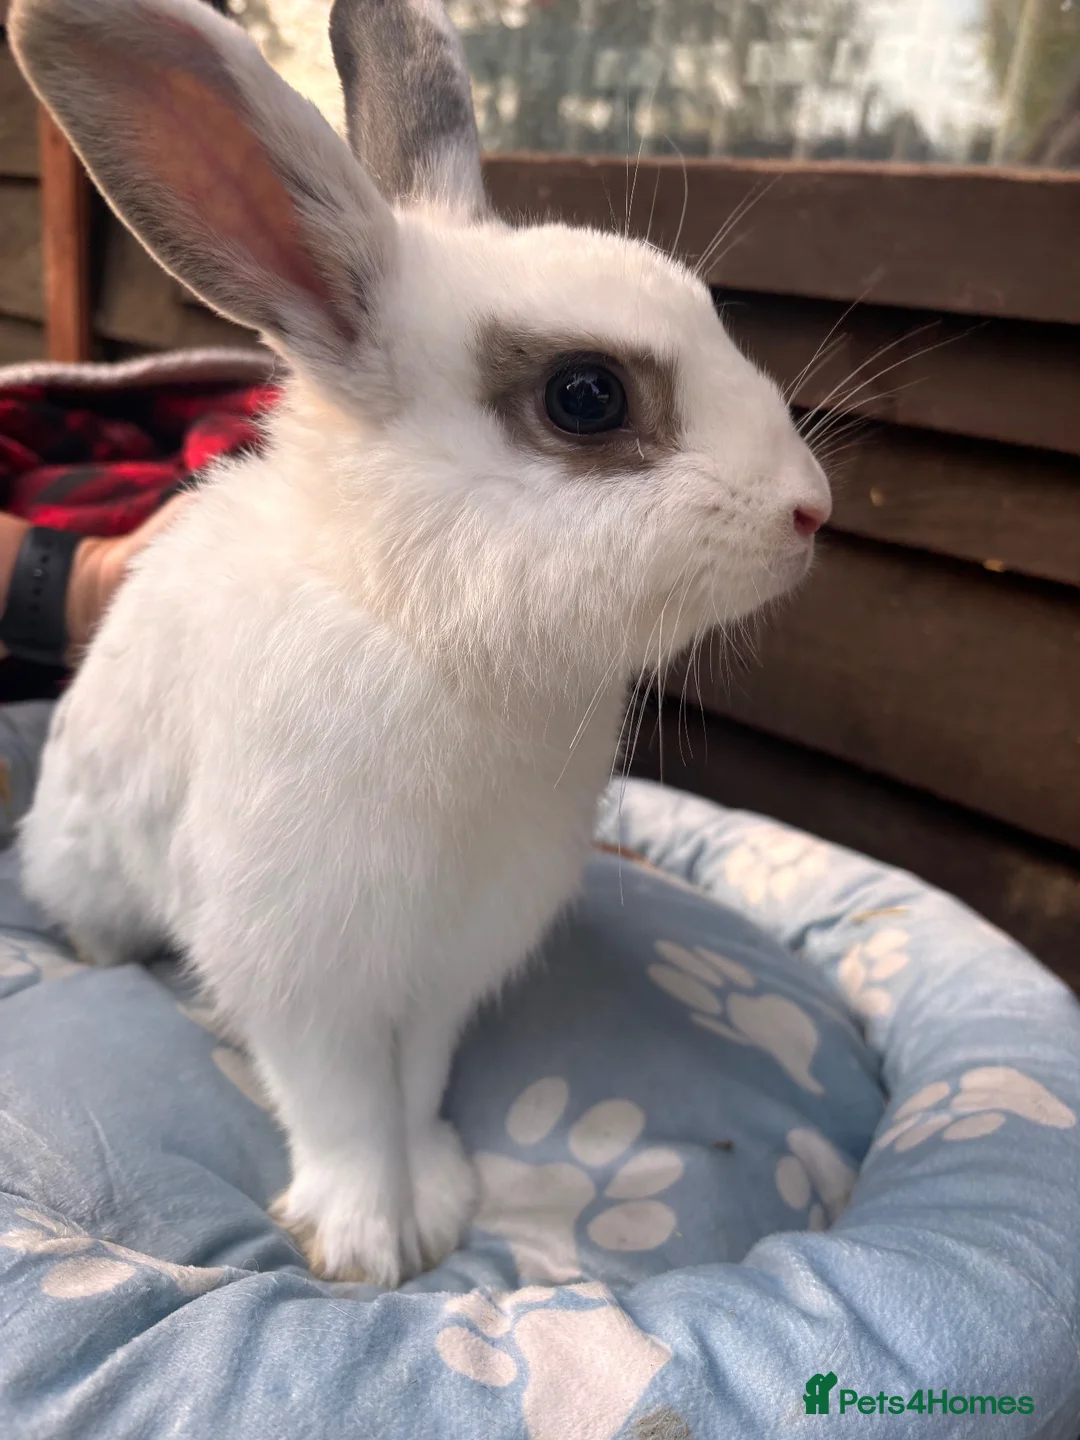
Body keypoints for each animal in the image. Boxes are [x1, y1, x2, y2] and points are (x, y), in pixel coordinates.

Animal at [10, 0, 831, 1286]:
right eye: (586, 397)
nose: (813, 509)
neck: (419, 621)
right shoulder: (299, 965)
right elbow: (342, 1102)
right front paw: (364, 1240)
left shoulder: (453, 957)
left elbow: (415, 1081)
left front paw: (435, 1199)